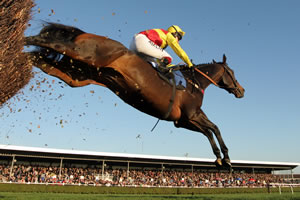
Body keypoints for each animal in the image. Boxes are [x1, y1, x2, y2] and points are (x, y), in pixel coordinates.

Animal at [24, 23, 245, 167]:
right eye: (232, 73)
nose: (242, 91)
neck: (195, 83)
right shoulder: (191, 115)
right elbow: (212, 129)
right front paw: (224, 157)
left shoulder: (182, 120)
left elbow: (211, 129)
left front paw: (222, 158)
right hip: (79, 52)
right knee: (46, 42)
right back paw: (23, 39)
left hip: (77, 75)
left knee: (40, 59)